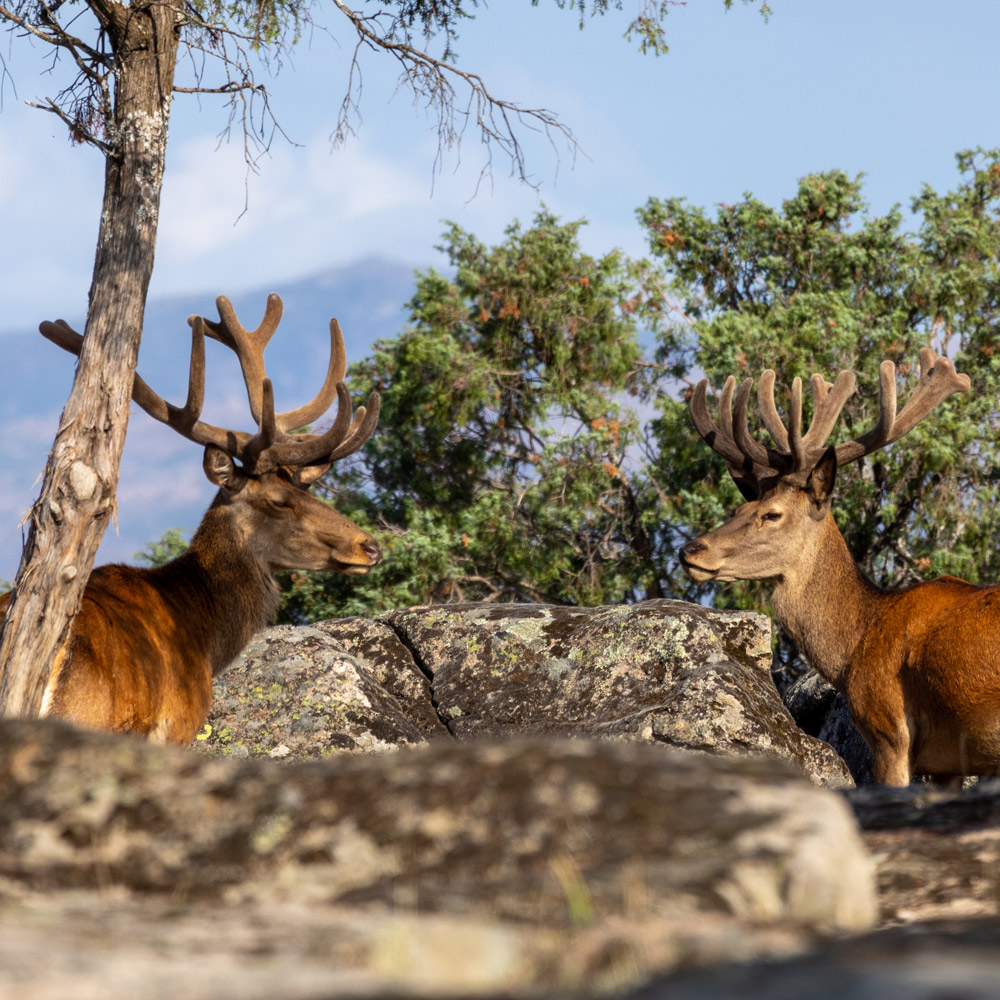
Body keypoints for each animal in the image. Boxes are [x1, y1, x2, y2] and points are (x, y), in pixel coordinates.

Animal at [677, 346, 990, 786]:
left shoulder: (888, 729)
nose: (690, 550)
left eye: (772, 514)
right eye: (740, 509)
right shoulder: (948, 764)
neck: (856, 643)